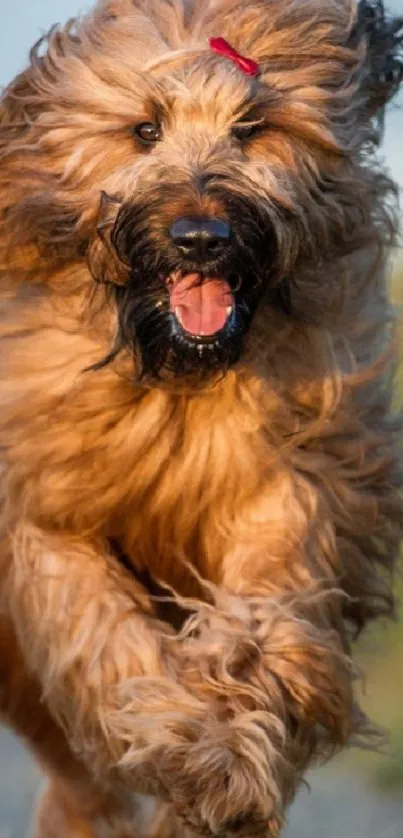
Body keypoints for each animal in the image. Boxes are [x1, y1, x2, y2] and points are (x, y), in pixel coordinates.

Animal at [0, 0, 403, 836]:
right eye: (144, 129)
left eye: (251, 128)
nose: (201, 238)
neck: (177, 376)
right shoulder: (47, 509)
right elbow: (100, 630)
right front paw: (180, 740)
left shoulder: (291, 480)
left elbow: (262, 614)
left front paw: (222, 757)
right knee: (74, 771)